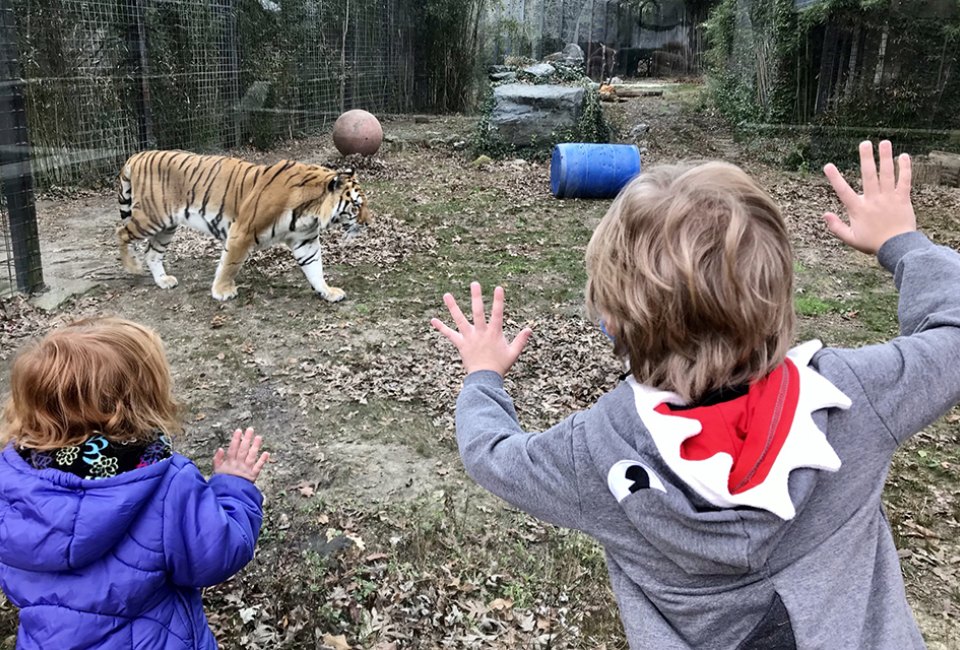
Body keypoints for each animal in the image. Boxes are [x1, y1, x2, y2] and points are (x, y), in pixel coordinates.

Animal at [112, 150, 368, 302]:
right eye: (356, 205)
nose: (368, 223)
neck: (311, 212)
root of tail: (138, 155)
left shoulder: (305, 240)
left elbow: (315, 268)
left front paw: (327, 291)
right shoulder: (242, 231)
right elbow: (230, 265)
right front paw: (222, 291)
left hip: (166, 226)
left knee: (152, 252)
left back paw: (163, 281)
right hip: (151, 218)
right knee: (121, 232)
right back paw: (132, 267)